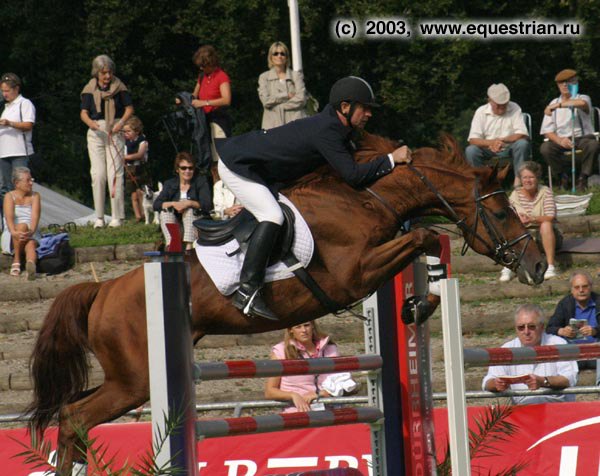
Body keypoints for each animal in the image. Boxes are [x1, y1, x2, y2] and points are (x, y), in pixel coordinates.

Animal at [28, 133, 545, 474]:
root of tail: (103, 290)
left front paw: (418, 303)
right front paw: (419, 302)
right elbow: (424, 235)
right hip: (135, 380)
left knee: (71, 415)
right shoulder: (352, 274)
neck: (365, 201)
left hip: (126, 378)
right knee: (75, 417)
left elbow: (427, 238)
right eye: (502, 212)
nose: (538, 266)